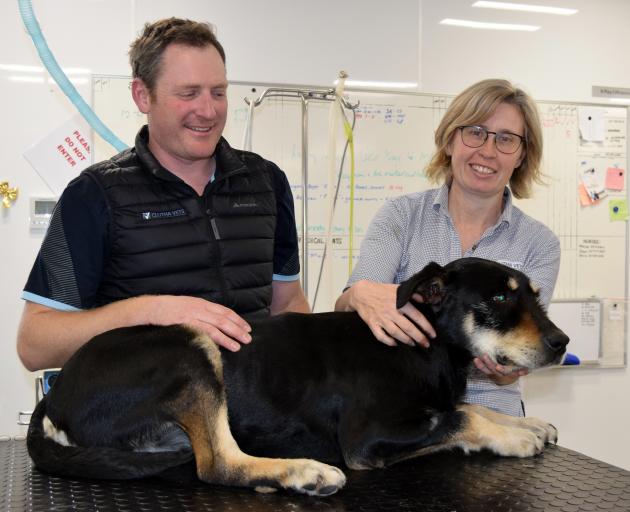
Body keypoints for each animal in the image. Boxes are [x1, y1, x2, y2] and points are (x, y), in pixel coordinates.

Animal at [28, 258, 572, 498]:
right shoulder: (367, 439)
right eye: (499, 298)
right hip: (192, 345)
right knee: (217, 464)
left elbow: (466, 405)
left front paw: (528, 423)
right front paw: (512, 437)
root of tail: (54, 399)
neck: (426, 346)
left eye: (533, 294)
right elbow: (461, 417)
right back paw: (303, 472)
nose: (562, 342)